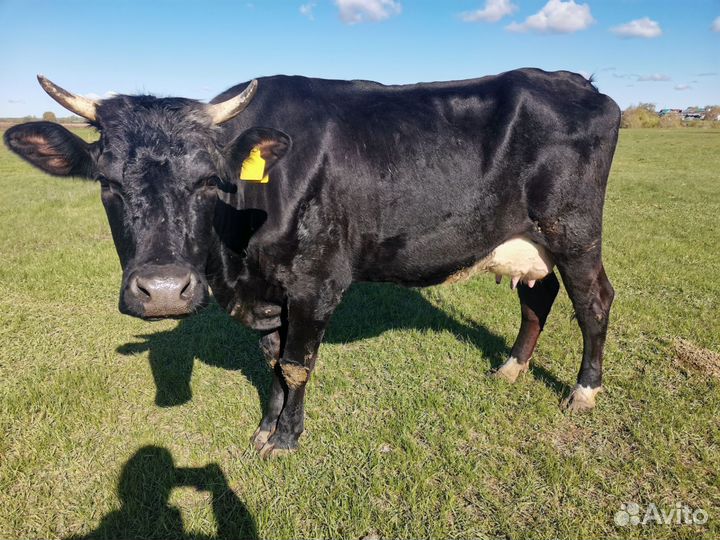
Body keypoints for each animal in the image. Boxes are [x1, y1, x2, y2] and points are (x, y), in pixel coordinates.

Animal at [4, 69, 620, 457]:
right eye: (106, 182)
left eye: (207, 181)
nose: (161, 290)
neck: (236, 265)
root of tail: (575, 82)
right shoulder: (266, 293)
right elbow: (272, 363)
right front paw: (264, 428)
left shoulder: (315, 282)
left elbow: (297, 365)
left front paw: (285, 440)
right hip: (531, 239)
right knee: (538, 294)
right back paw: (512, 367)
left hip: (574, 231)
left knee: (593, 301)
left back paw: (584, 392)